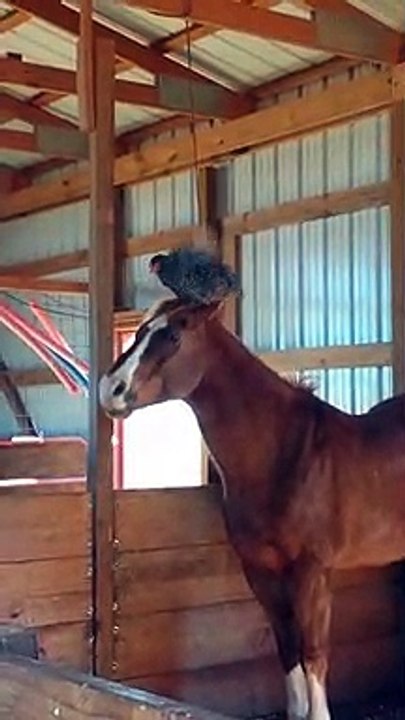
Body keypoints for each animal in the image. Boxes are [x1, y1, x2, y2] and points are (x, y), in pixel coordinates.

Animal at [99, 298, 405, 720]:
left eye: (174, 334)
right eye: (141, 331)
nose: (109, 390)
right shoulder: (260, 570)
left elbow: (314, 653)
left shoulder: (312, 571)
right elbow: (288, 649)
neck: (283, 454)